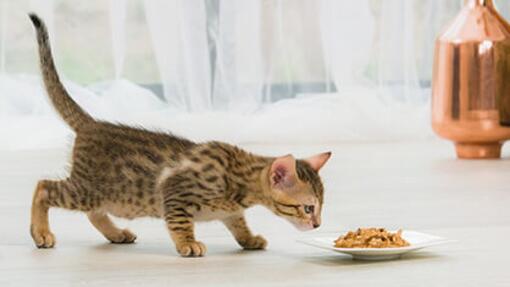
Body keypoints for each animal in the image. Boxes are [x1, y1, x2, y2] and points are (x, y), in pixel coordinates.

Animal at [28, 13, 330, 258]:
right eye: (308, 208)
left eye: (319, 207)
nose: (318, 224)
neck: (240, 181)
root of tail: (91, 124)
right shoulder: (175, 192)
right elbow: (180, 222)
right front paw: (188, 243)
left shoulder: (231, 210)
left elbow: (238, 221)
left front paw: (249, 238)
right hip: (90, 190)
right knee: (44, 187)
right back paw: (41, 232)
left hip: (112, 197)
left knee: (93, 212)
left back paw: (116, 233)